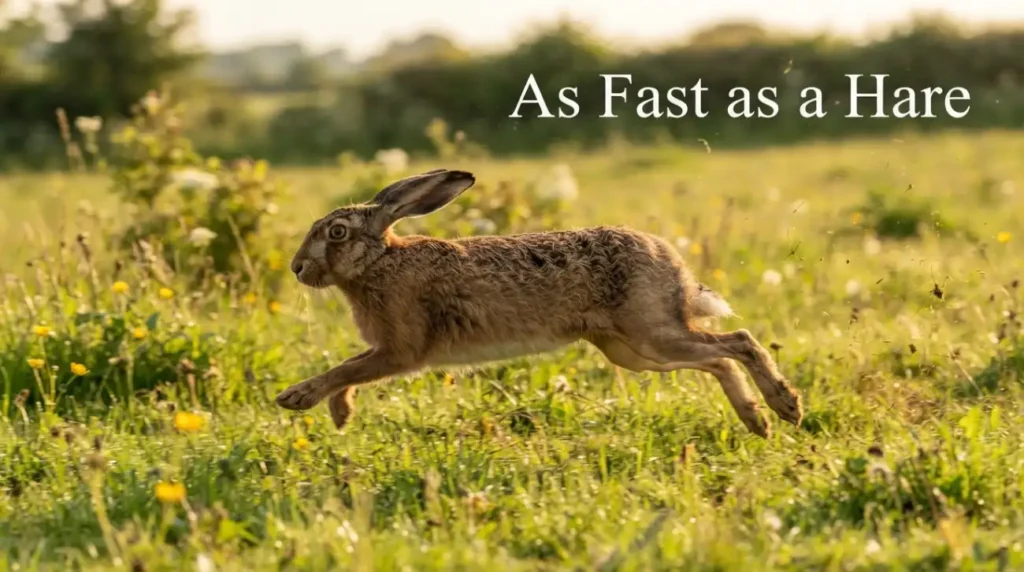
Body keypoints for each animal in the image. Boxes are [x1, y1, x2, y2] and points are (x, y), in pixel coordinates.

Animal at [276, 168, 803, 438]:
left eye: (337, 233)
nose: (297, 267)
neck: (380, 262)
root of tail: (673, 263)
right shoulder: (388, 348)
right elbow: (350, 369)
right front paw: (341, 414)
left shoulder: (402, 349)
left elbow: (348, 367)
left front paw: (296, 398)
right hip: (633, 352)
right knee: (719, 359)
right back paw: (758, 420)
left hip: (651, 333)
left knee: (739, 342)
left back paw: (785, 406)